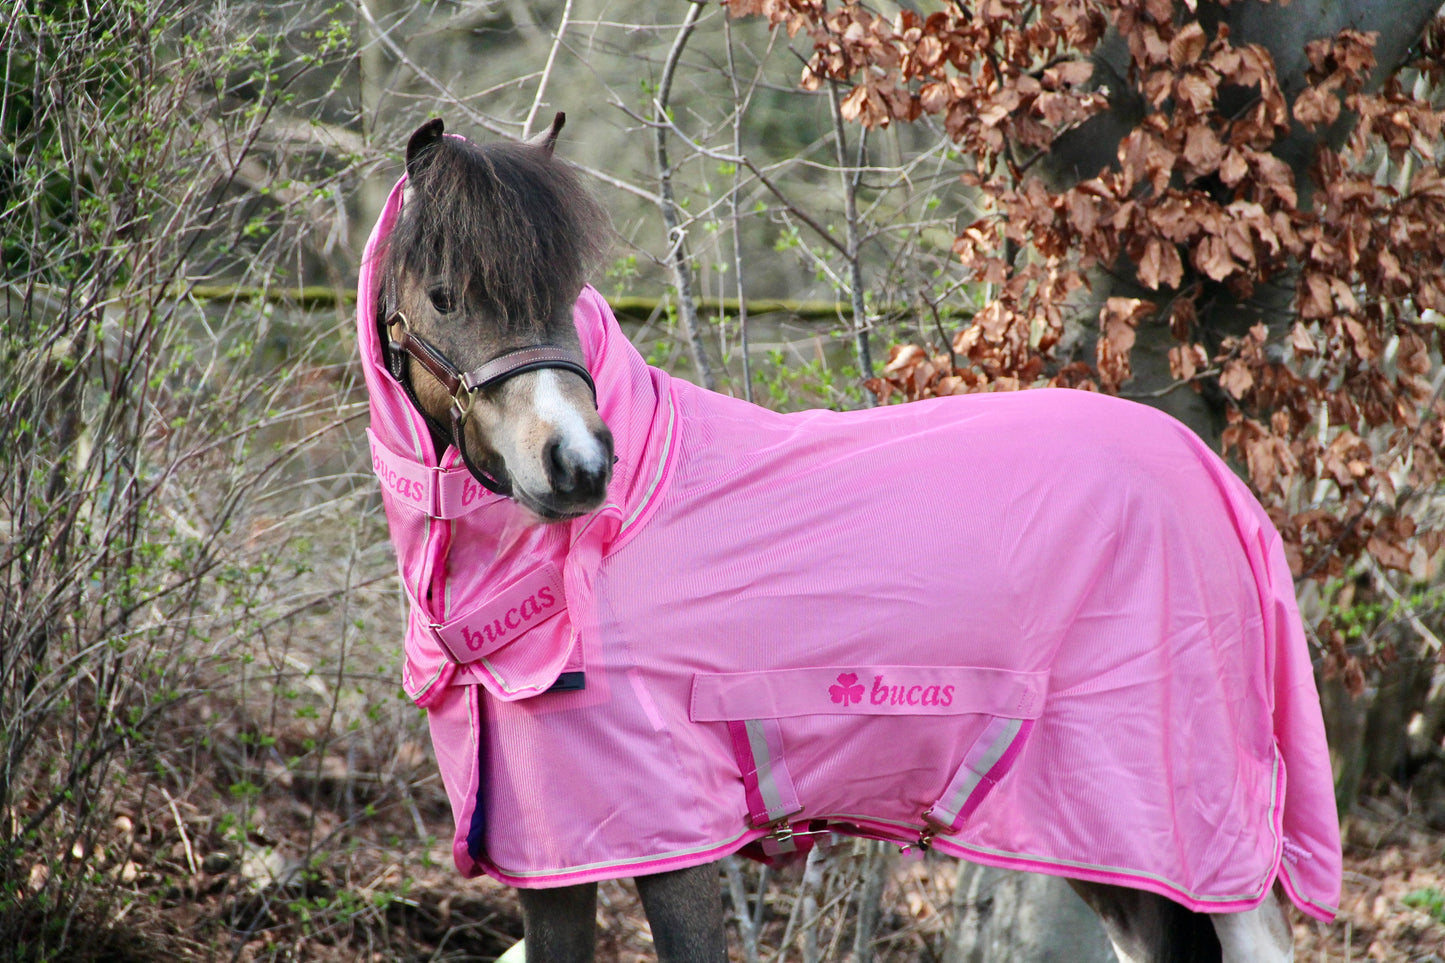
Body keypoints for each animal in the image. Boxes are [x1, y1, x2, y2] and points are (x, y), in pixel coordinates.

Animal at [356, 116, 1342, 963]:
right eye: (443, 295)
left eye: (564, 292)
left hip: (1194, 830)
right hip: (1108, 840)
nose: (579, 464)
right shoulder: (556, 856)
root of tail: (1219, 484)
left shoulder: (668, 836)